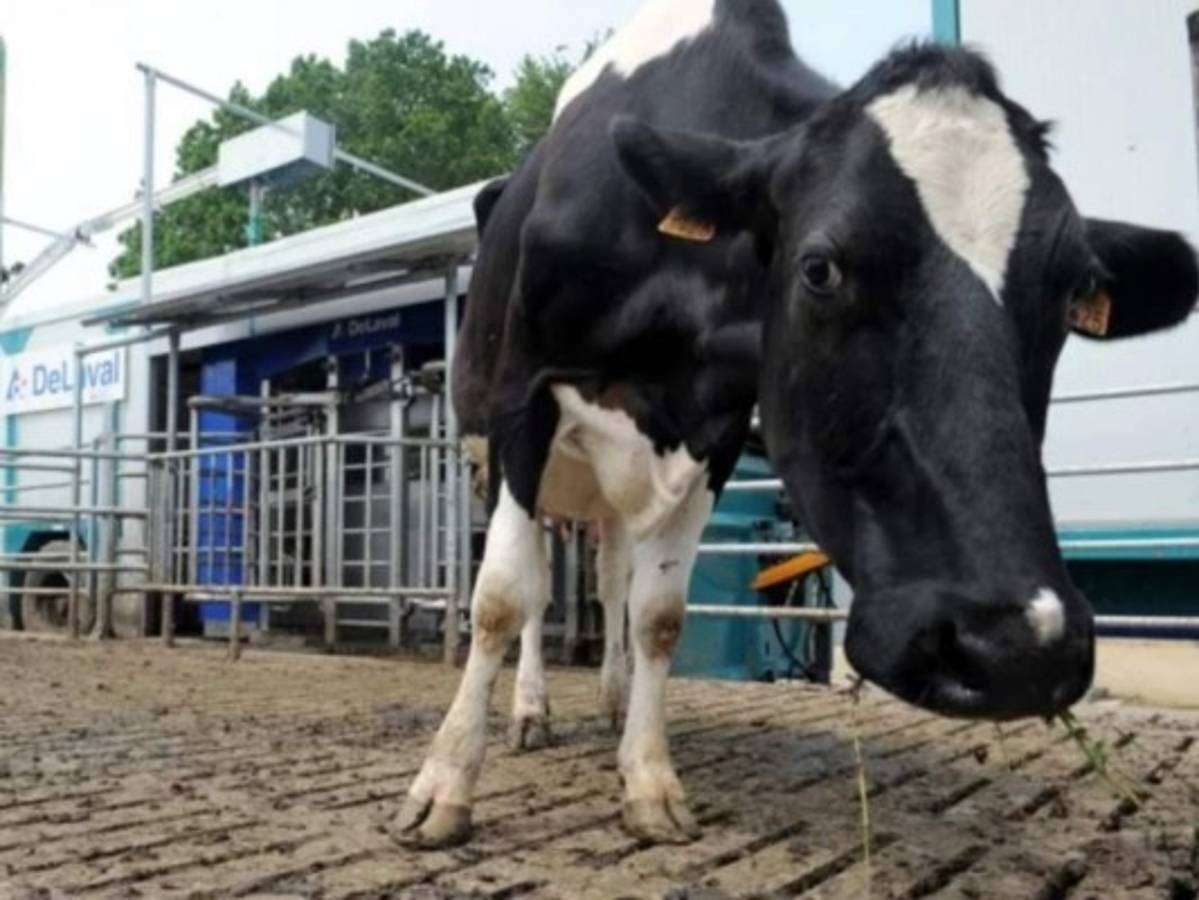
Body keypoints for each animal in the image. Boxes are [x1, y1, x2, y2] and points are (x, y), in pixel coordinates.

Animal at [395, 0, 1198, 848]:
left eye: (1075, 290)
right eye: (819, 268)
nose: (1017, 648)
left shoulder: (712, 429)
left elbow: (657, 615)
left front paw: (647, 780)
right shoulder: (524, 396)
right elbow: (501, 598)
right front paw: (445, 784)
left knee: (610, 578)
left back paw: (611, 701)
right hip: (502, 452)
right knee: (540, 587)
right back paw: (530, 710)